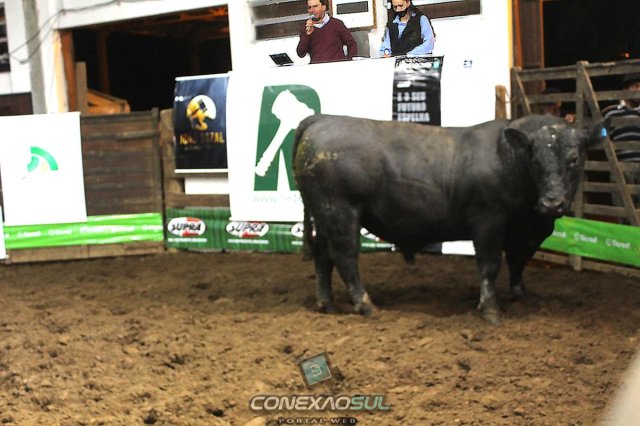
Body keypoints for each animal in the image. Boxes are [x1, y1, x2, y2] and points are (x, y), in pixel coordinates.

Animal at [292, 114, 605, 324]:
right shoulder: (488, 221)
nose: (552, 203)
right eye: (535, 160)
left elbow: (518, 261)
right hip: (341, 212)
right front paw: (490, 310)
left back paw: (327, 304)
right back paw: (366, 305)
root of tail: (322, 119)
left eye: (574, 159)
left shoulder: (524, 230)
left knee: (323, 255)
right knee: (345, 256)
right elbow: (490, 265)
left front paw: (521, 295)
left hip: (325, 215)